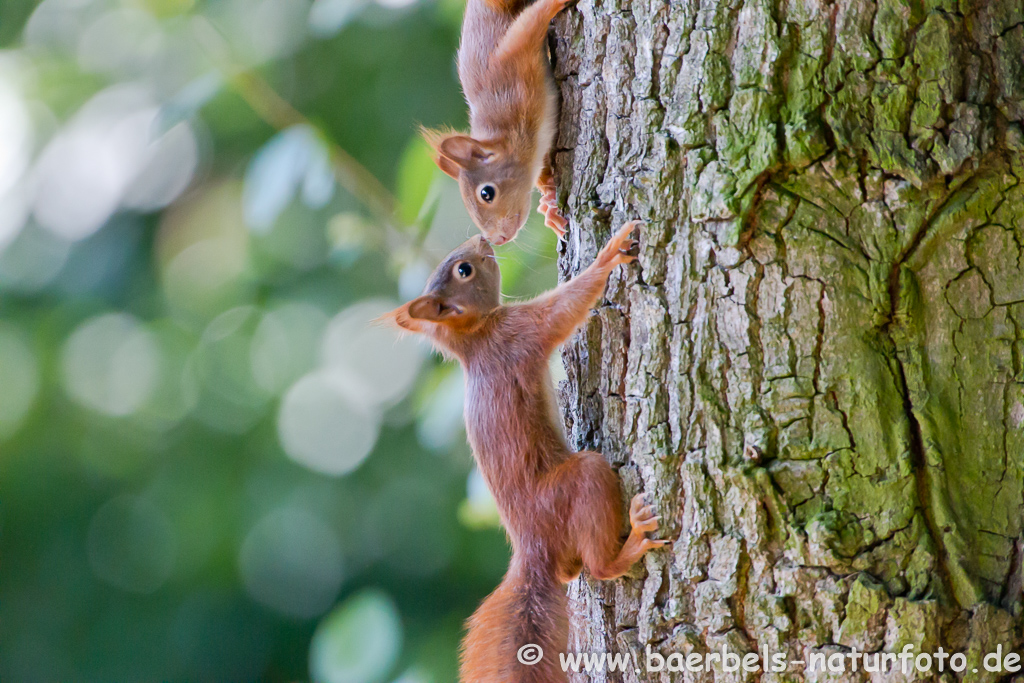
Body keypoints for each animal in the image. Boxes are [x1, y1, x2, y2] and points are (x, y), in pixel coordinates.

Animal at [385, 222, 663, 679]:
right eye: (464, 270)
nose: (482, 239)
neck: (475, 340)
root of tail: (533, 548)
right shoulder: (522, 331)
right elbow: (563, 309)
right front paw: (608, 255)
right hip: (577, 482)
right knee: (599, 565)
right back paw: (634, 541)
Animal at [419, 0, 573, 245]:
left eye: (487, 193)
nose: (496, 240)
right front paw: (549, 201)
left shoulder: (510, 68)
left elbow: (528, 25)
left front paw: (551, 5)